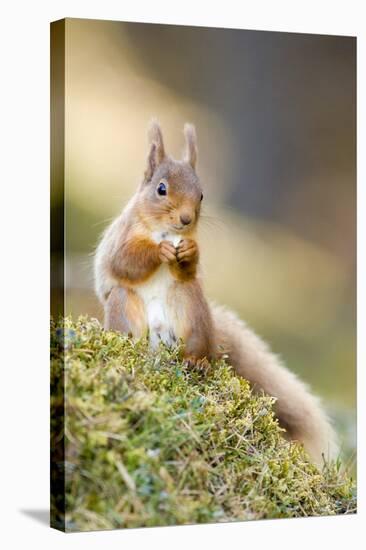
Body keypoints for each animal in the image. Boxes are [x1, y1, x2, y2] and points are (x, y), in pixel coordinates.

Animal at [93, 121, 338, 466]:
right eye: (161, 189)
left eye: (201, 194)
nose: (186, 219)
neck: (165, 232)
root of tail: (160, 345)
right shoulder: (121, 239)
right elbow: (125, 262)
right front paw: (158, 251)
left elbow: (189, 267)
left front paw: (189, 252)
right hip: (123, 305)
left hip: (191, 308)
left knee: (197, 344)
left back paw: (197, 362)